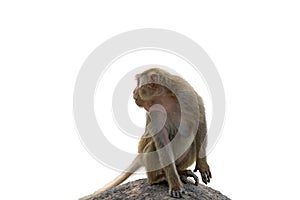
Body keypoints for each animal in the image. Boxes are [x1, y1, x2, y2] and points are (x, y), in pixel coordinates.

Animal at [80, 68, 211, 199]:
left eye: (138, 83)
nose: (134, 91)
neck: (165, 96)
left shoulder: (187, 93)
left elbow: (200, 120)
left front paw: (202, 164)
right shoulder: (155, 110)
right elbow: (162, 142)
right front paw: (175, 184)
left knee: (189, 139)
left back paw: (180, 171)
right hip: (144, 154)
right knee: (154, 146)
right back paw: (156, 178)